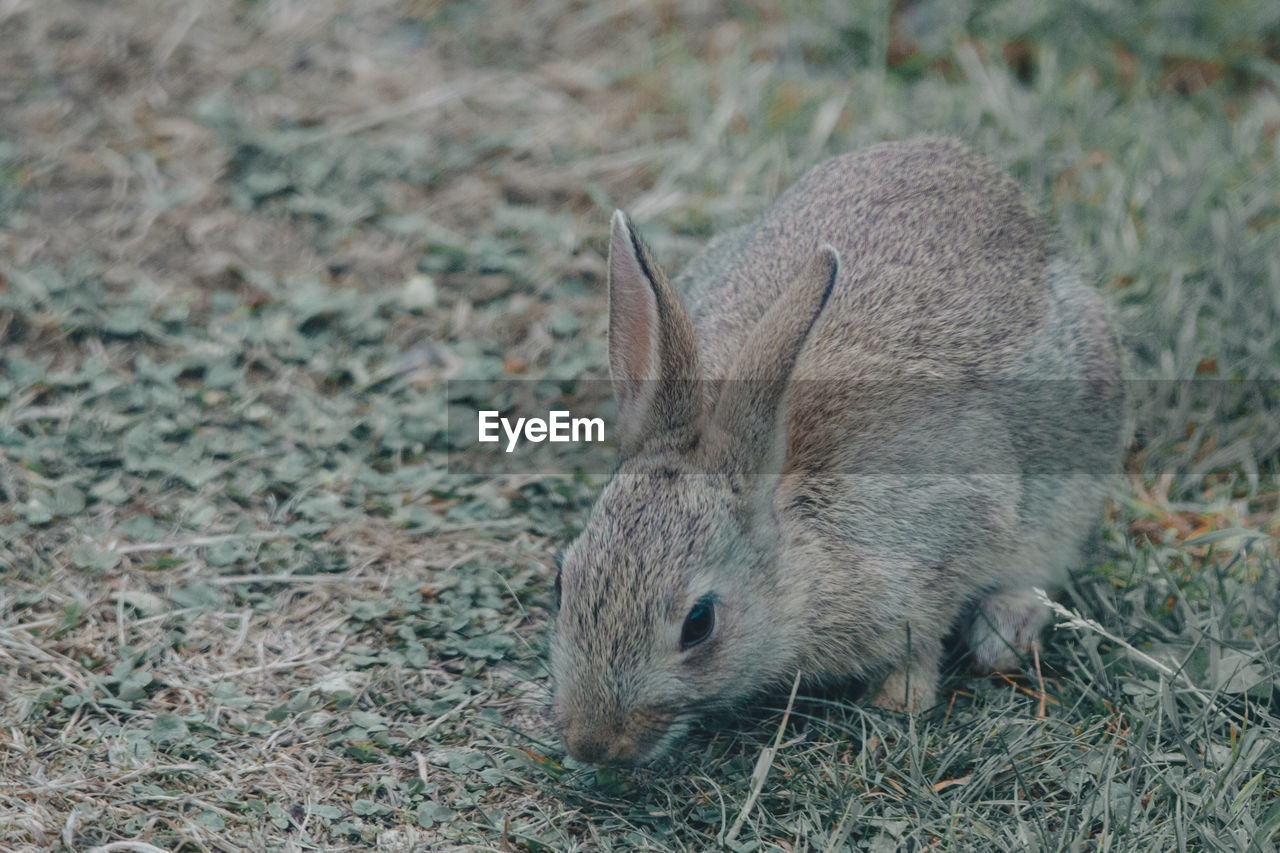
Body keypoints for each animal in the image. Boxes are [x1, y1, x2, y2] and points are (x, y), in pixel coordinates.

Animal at [547, 139, 1121, 763]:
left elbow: (924, 634)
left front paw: (898, 702)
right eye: (562, 583)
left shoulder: (953, 536)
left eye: (699, 623)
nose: (593, 742)